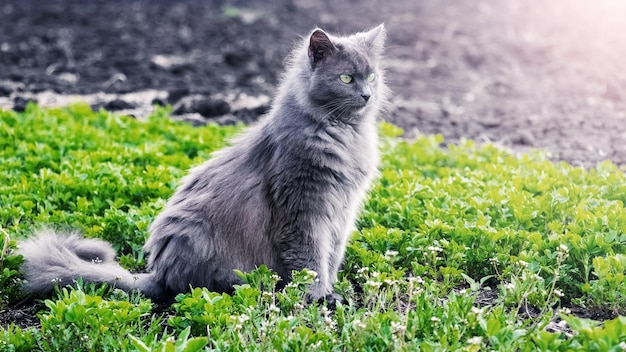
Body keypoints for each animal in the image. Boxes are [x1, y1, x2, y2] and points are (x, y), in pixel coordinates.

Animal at [18, 24, 386, 304]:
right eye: (347, 79)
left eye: (371, 78)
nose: (367, 94)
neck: (342, 134)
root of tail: (157, 272)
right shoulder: (303, 208)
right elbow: (310, 260)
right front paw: (320, 297)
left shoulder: (341, 212)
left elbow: (331, 257)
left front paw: (331, 291)